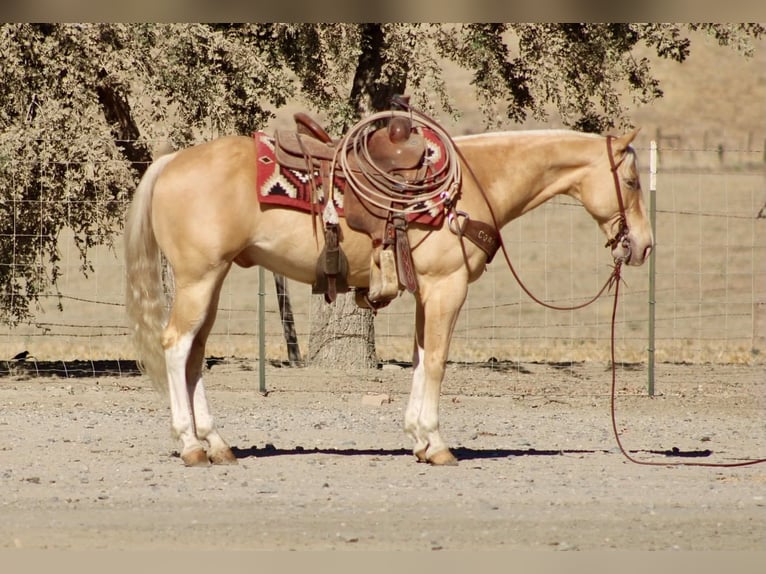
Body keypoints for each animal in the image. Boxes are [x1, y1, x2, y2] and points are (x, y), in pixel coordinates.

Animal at [124, 122, 654, 467]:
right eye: (630, 180)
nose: (644, 245)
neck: (471, 186)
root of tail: (170, 161)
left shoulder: (427, 293)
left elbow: (420, 358)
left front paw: (418, 438)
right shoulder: (446, 287)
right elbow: (436, 360)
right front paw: (437, 444)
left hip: (209, 282)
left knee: (195, 354)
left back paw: (216, 443)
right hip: (198, 279)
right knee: (176, 346)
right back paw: (191, 446)